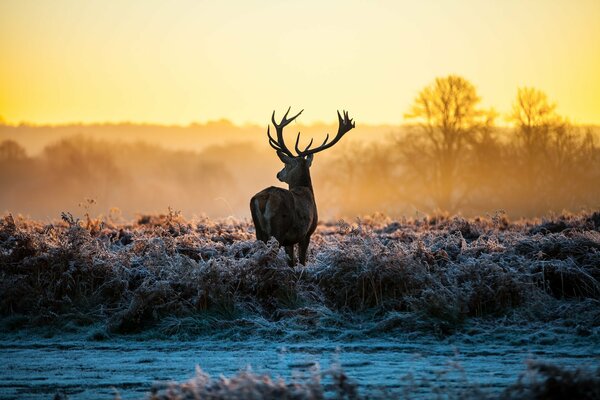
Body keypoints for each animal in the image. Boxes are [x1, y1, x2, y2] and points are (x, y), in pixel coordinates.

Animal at [250, 108, 354, 268]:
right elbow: (302, 261)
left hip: (259, 232)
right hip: (278, 229)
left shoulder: (290, 241)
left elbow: (291, 262)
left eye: (286, 164)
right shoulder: (306, 233)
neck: (306, 190)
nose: (278, 174)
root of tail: (264, 198)